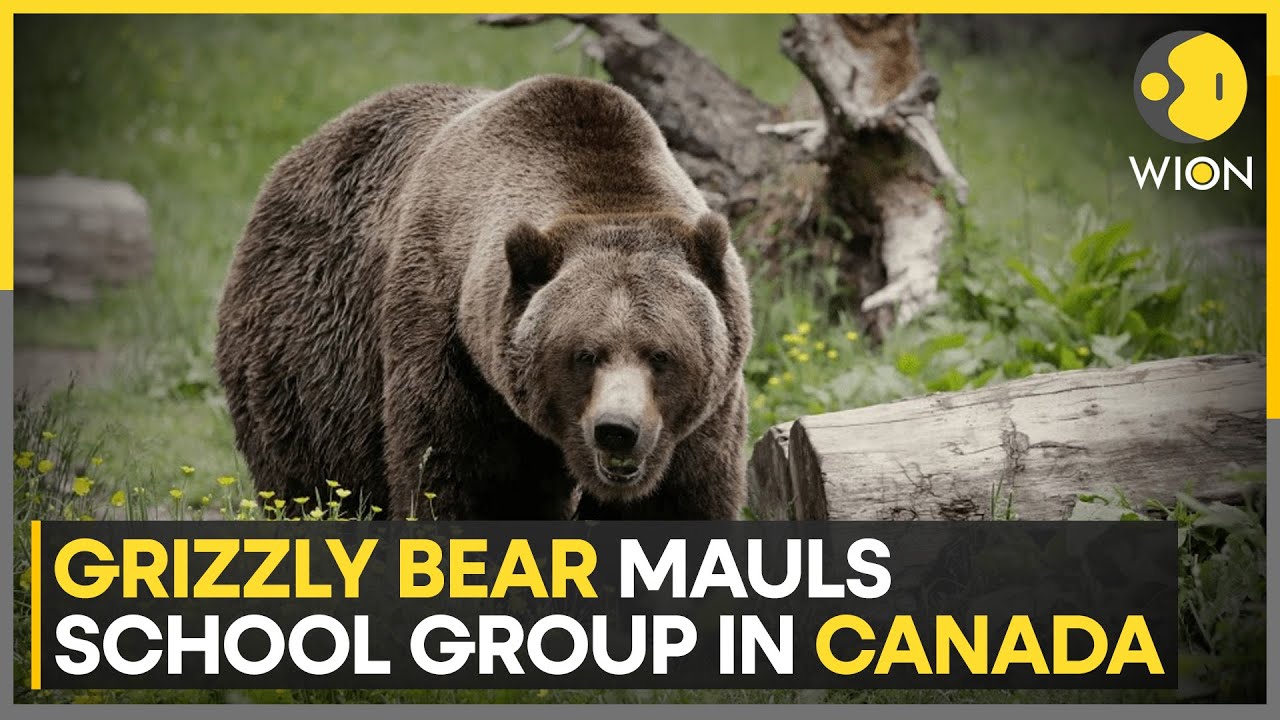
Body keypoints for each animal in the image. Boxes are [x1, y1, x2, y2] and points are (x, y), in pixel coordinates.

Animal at [215, 75, 752, 520]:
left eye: (661, 354)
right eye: (584, 354)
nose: (617, 429)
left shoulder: (703, 414)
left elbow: (679, 499)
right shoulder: (453, 348)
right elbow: (463, 483)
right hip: (310, 355)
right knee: (315, 479)